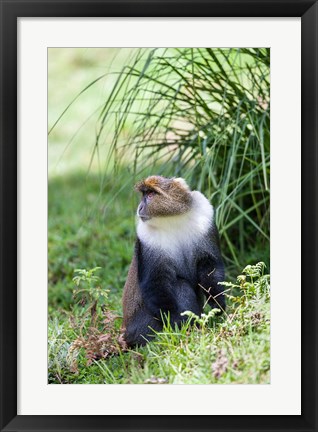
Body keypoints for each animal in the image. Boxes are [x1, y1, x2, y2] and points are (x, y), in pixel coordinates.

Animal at [121, 176, 224, 348]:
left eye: (150, 194)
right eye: (144, 195)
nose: (140, 208)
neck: (172, 219)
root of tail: (126, 334)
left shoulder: (205, 217)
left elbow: (210, 265)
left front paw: (218, 303)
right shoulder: (147, 239)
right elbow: (155, 283)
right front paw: (176, 325)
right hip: (143, 328)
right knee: (180, 285)